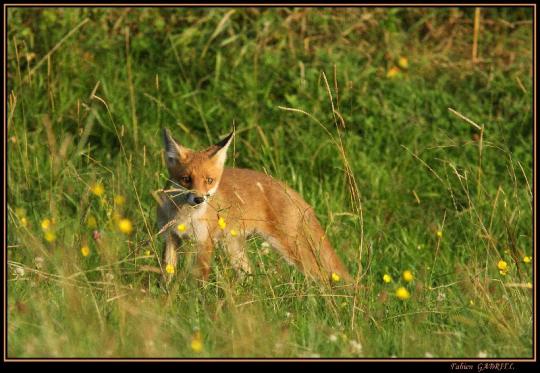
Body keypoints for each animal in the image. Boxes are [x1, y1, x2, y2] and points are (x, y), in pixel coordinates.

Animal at [156, 129, 352, 284]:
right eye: (186, 179)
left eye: (209, 180)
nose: (199, 199)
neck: (184, 217)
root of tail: (289, 189)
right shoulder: (171, 237)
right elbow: (167, 275)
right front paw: (166, 298)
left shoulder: (204, 242)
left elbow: (199, 282)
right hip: (234, 249)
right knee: (249, 275)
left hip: (291, 249)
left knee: (322, 277)